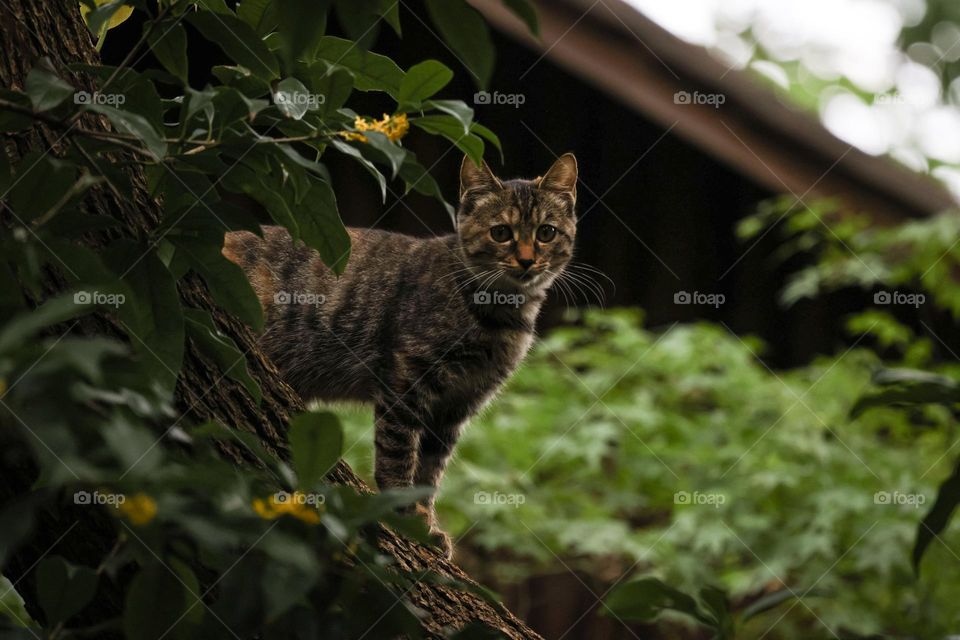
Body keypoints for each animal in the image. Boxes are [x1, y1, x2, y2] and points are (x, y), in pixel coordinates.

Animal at [225, 152, 576, 556]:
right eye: (501, 232)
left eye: (546, 232)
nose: (527, 260)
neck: (500, 318)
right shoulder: (406, 380)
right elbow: (399, 455)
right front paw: (404, 514)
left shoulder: (456, 406)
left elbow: (430, 470)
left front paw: (427, 520)